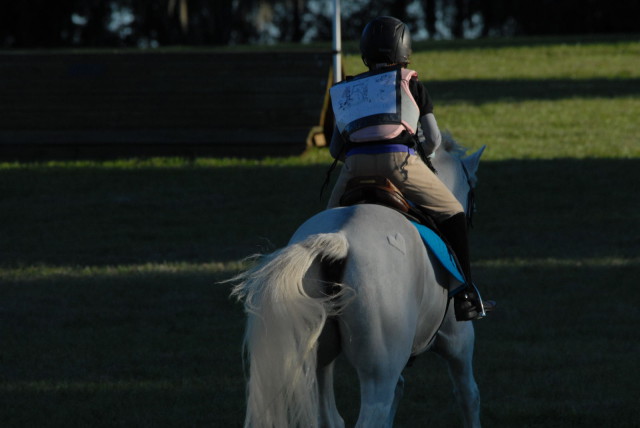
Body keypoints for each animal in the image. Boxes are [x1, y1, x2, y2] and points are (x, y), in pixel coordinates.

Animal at [232, 138, 488, 428]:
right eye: (472, 189)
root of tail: (337, 241)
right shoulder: (458, 340)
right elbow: (468, 395)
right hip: (378, 372)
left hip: (318, 360)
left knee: (331, 417)